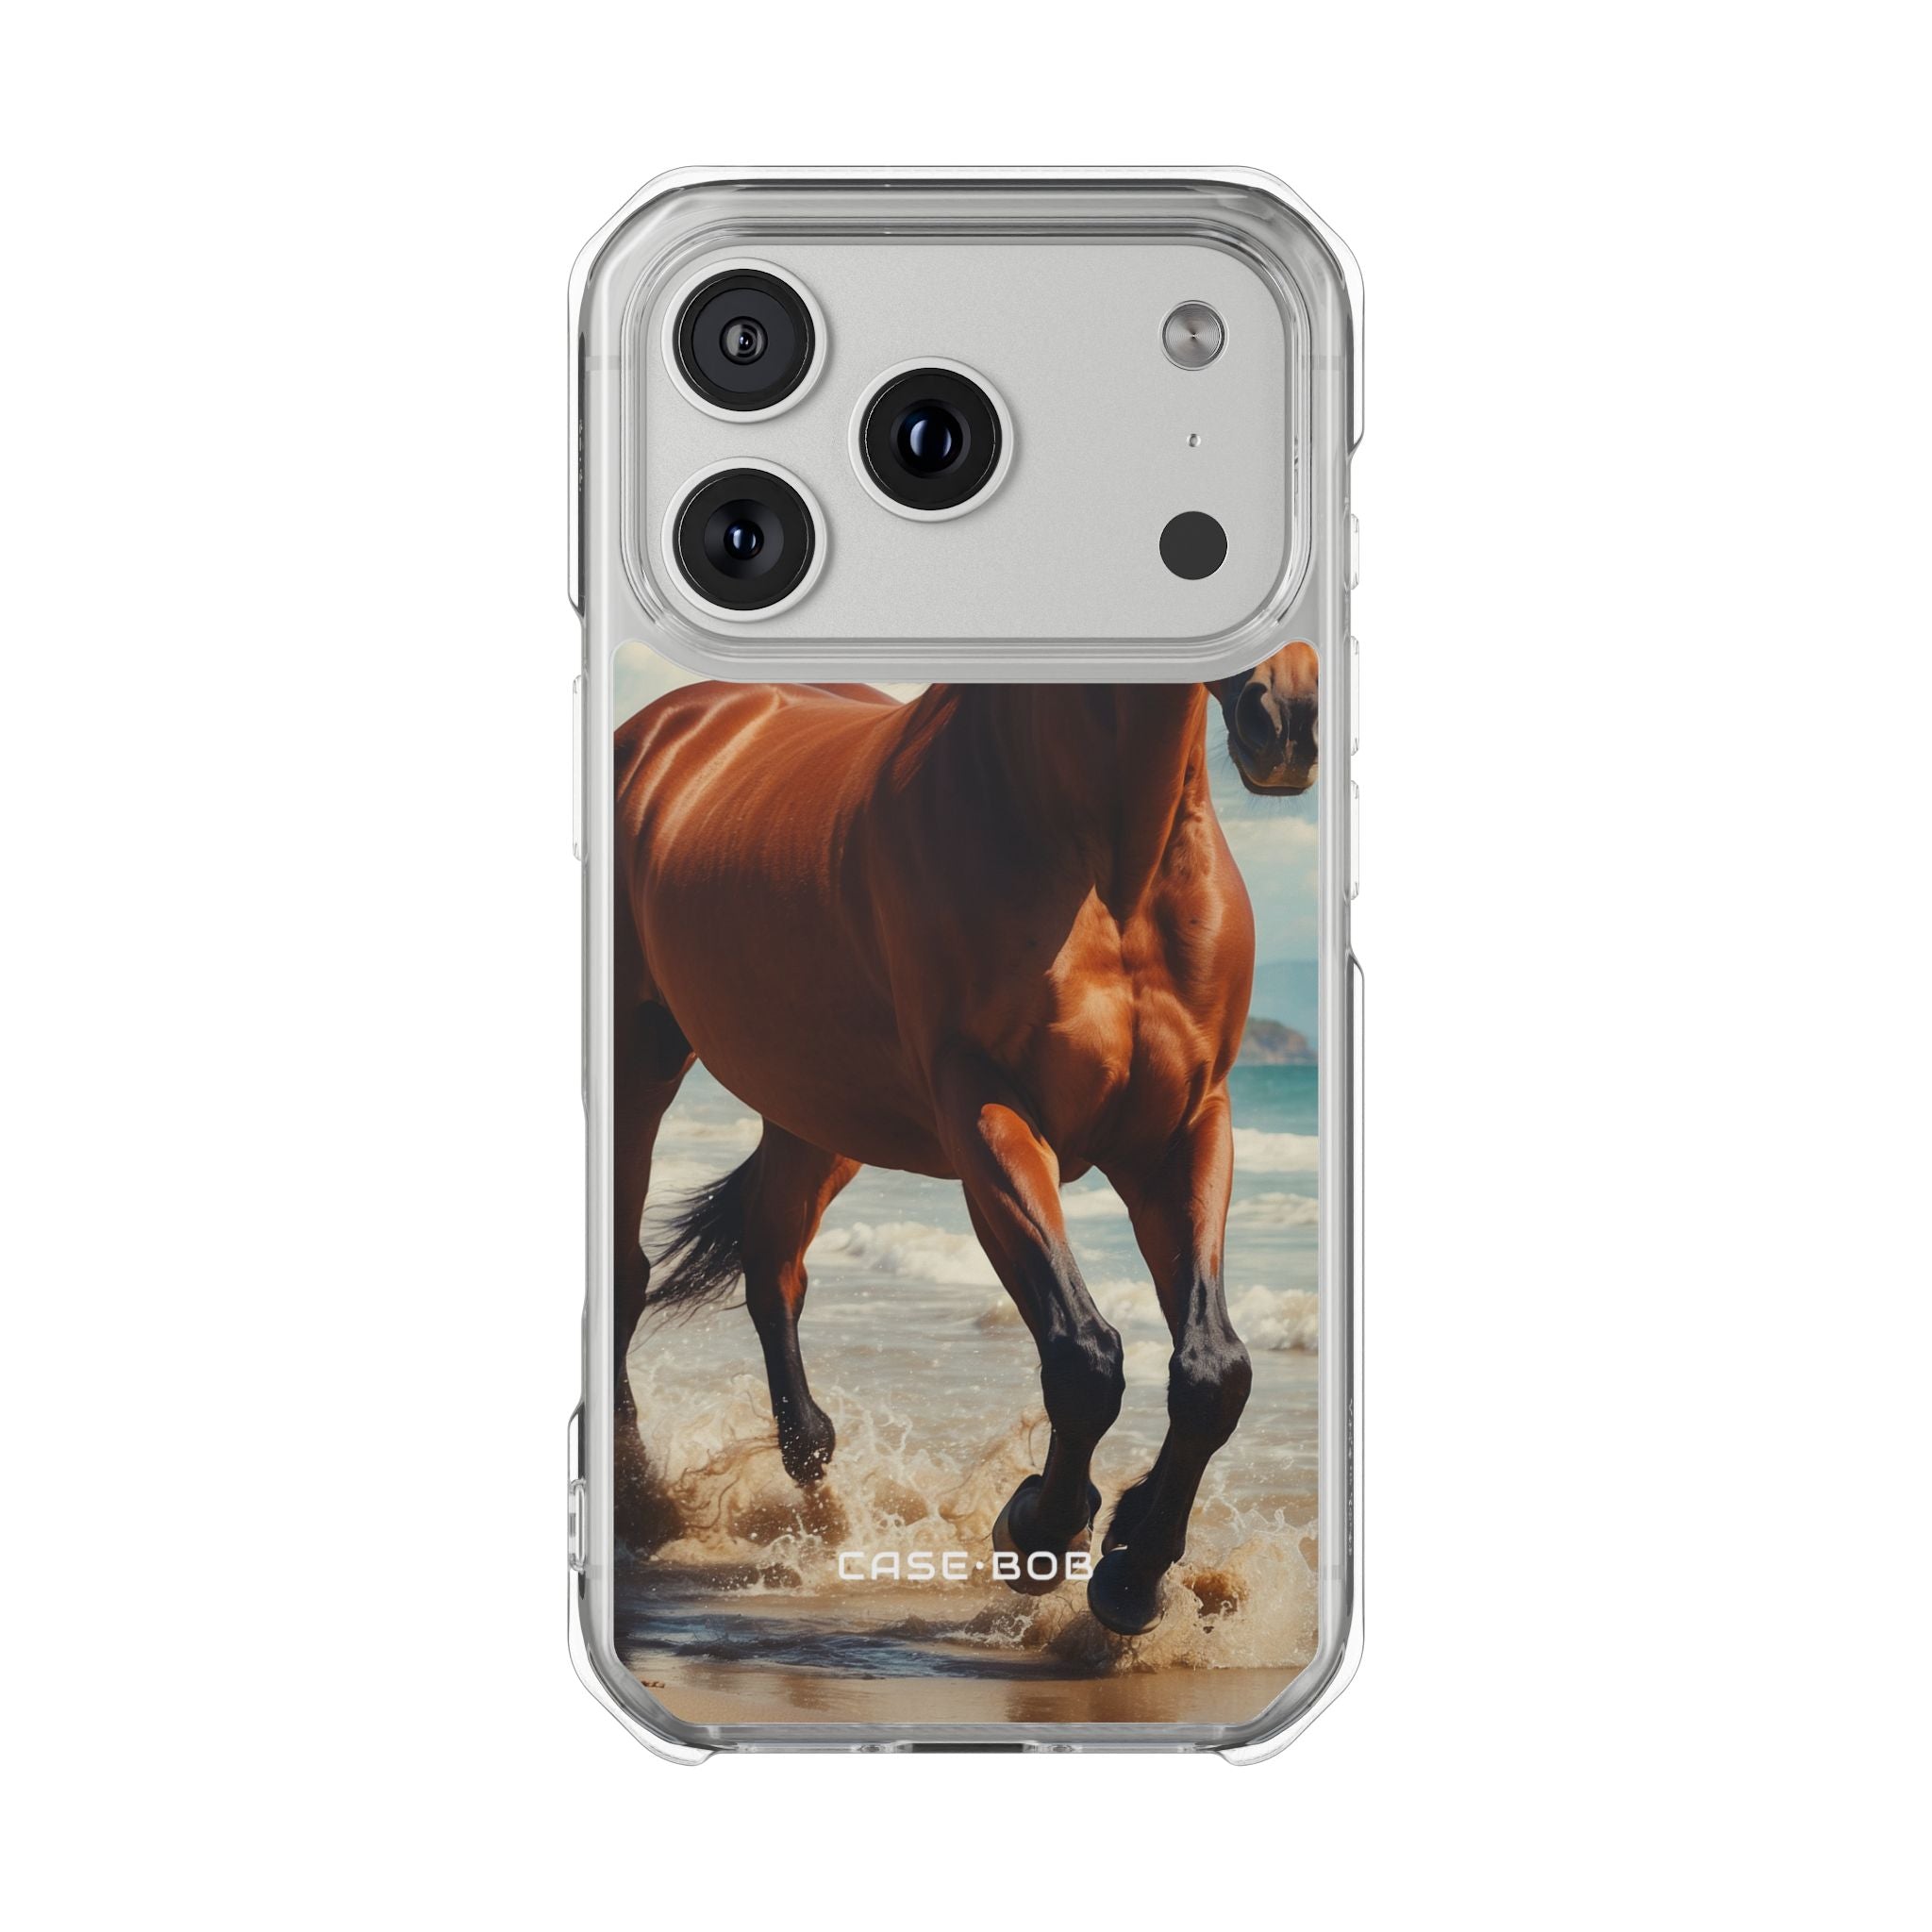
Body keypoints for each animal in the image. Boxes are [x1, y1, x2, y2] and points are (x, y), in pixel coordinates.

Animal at [612, 641, 1318, 1635]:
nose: (1284, 717)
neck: (1109, 864)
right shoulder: (987, 1113)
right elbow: (1084, 1356)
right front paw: (1039, 1532)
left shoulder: (1185, 1130)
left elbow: (1214, 1370)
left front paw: (1135, 1562)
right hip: (639, 1065)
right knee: (629, 1272)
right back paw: (640, 1505)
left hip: (818, 1114)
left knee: (771, 1264)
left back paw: (815, 1496)